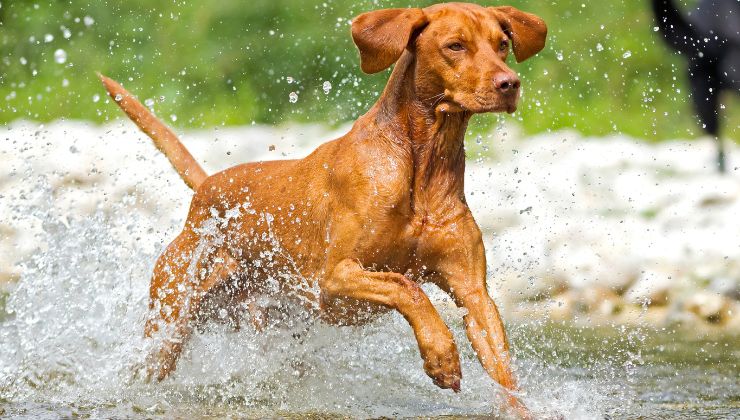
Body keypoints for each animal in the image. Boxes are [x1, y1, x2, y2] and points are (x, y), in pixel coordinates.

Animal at [101, 0, 548, 414]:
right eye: (455, 45)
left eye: (502, 44)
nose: (510, 84)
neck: (423, 165)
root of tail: (207, 187)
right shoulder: (336, 278)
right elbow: (408, 287)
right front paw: (441, 354)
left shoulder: (473, 292)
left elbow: (503, 369)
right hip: (169, 324)